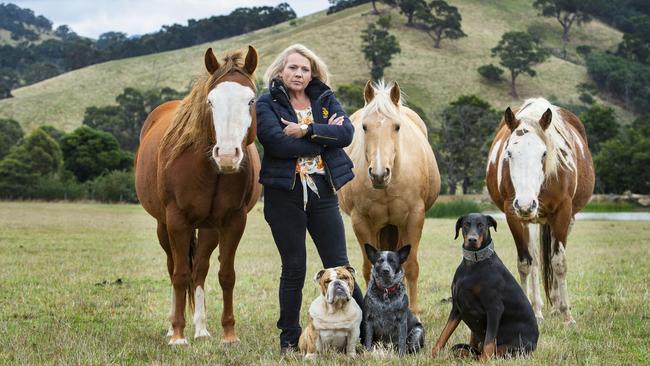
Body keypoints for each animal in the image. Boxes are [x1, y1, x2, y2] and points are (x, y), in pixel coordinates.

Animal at [135, 46, 260, 346]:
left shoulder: (233, 222)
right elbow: (180, 275)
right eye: (211, 101)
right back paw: (173, 327)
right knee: (174, 268)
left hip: (208, 228)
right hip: (164, 226)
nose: (226, 155)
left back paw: (202, 329)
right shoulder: (177, 221)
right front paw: (178, 335)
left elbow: (226, 275)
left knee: (200, 269)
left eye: (251, 100)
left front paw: (229, 334)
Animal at [340, 80, 440, 314]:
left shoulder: (414, 218)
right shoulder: (361, 221)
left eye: (397, 126)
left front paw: (413, 310)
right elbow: (369, 268)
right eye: (364, 127)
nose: (379, 174)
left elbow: (410, 266)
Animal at [486, 98, 592, 326]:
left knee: (552, 255)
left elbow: (559, 262)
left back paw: (557, 306)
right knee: (535, 260)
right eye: (509, 153)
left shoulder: (563, 213)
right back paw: (538, 309)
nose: (526, 204)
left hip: (564, 219)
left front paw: (567, 316)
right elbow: (526, 263)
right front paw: (530, 312)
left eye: (544, 153)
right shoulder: (513, 214)